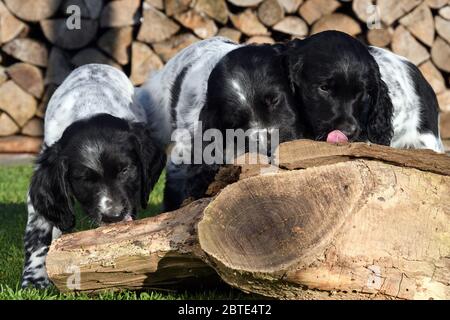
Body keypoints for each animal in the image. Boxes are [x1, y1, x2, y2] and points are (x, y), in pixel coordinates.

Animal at [22, 63, 166, 288]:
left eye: (125, 170)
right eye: (85, 180)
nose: (113, 217)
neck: (89, 106)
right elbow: (37, 232)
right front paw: (35, 278)